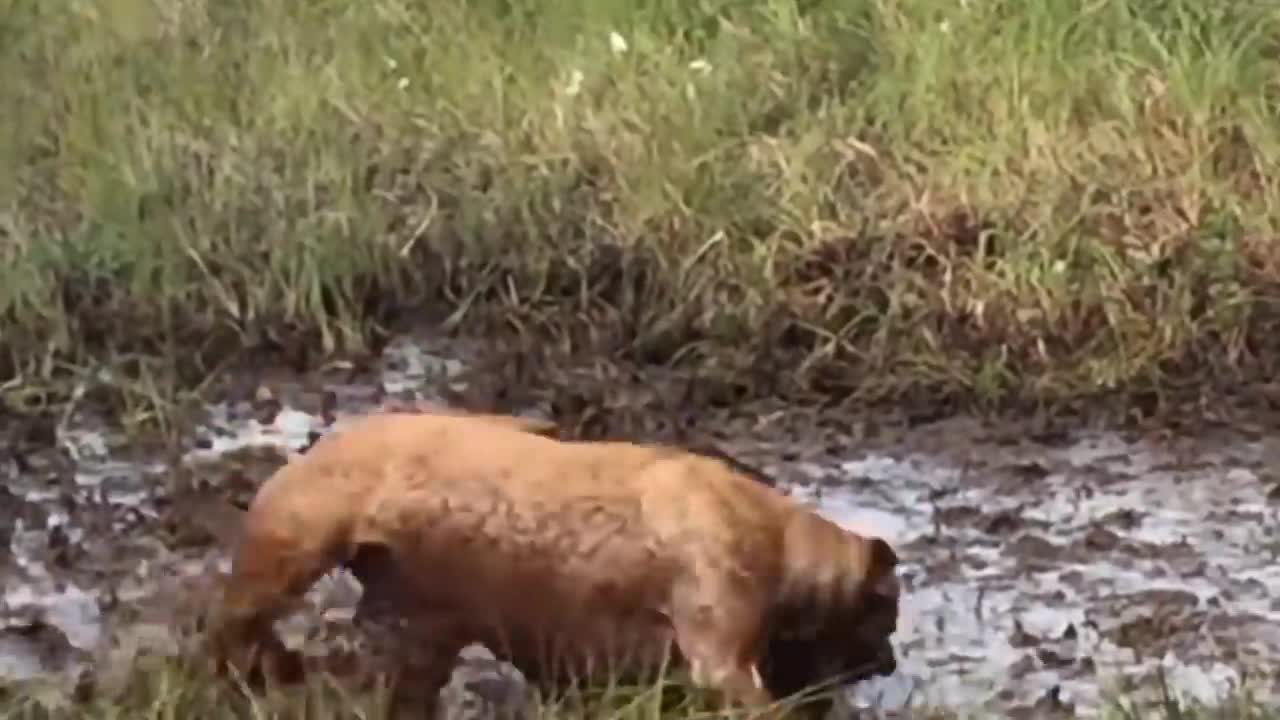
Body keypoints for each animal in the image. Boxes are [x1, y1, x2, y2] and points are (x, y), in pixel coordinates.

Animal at [204, 409, 901, 712]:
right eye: (885, 610)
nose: (891, 662)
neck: (785, 548)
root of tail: (314, 448)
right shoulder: (717, 625)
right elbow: (743, 693)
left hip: (428, 617)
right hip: (296, 537)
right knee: (235, 619)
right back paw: (262, 671)